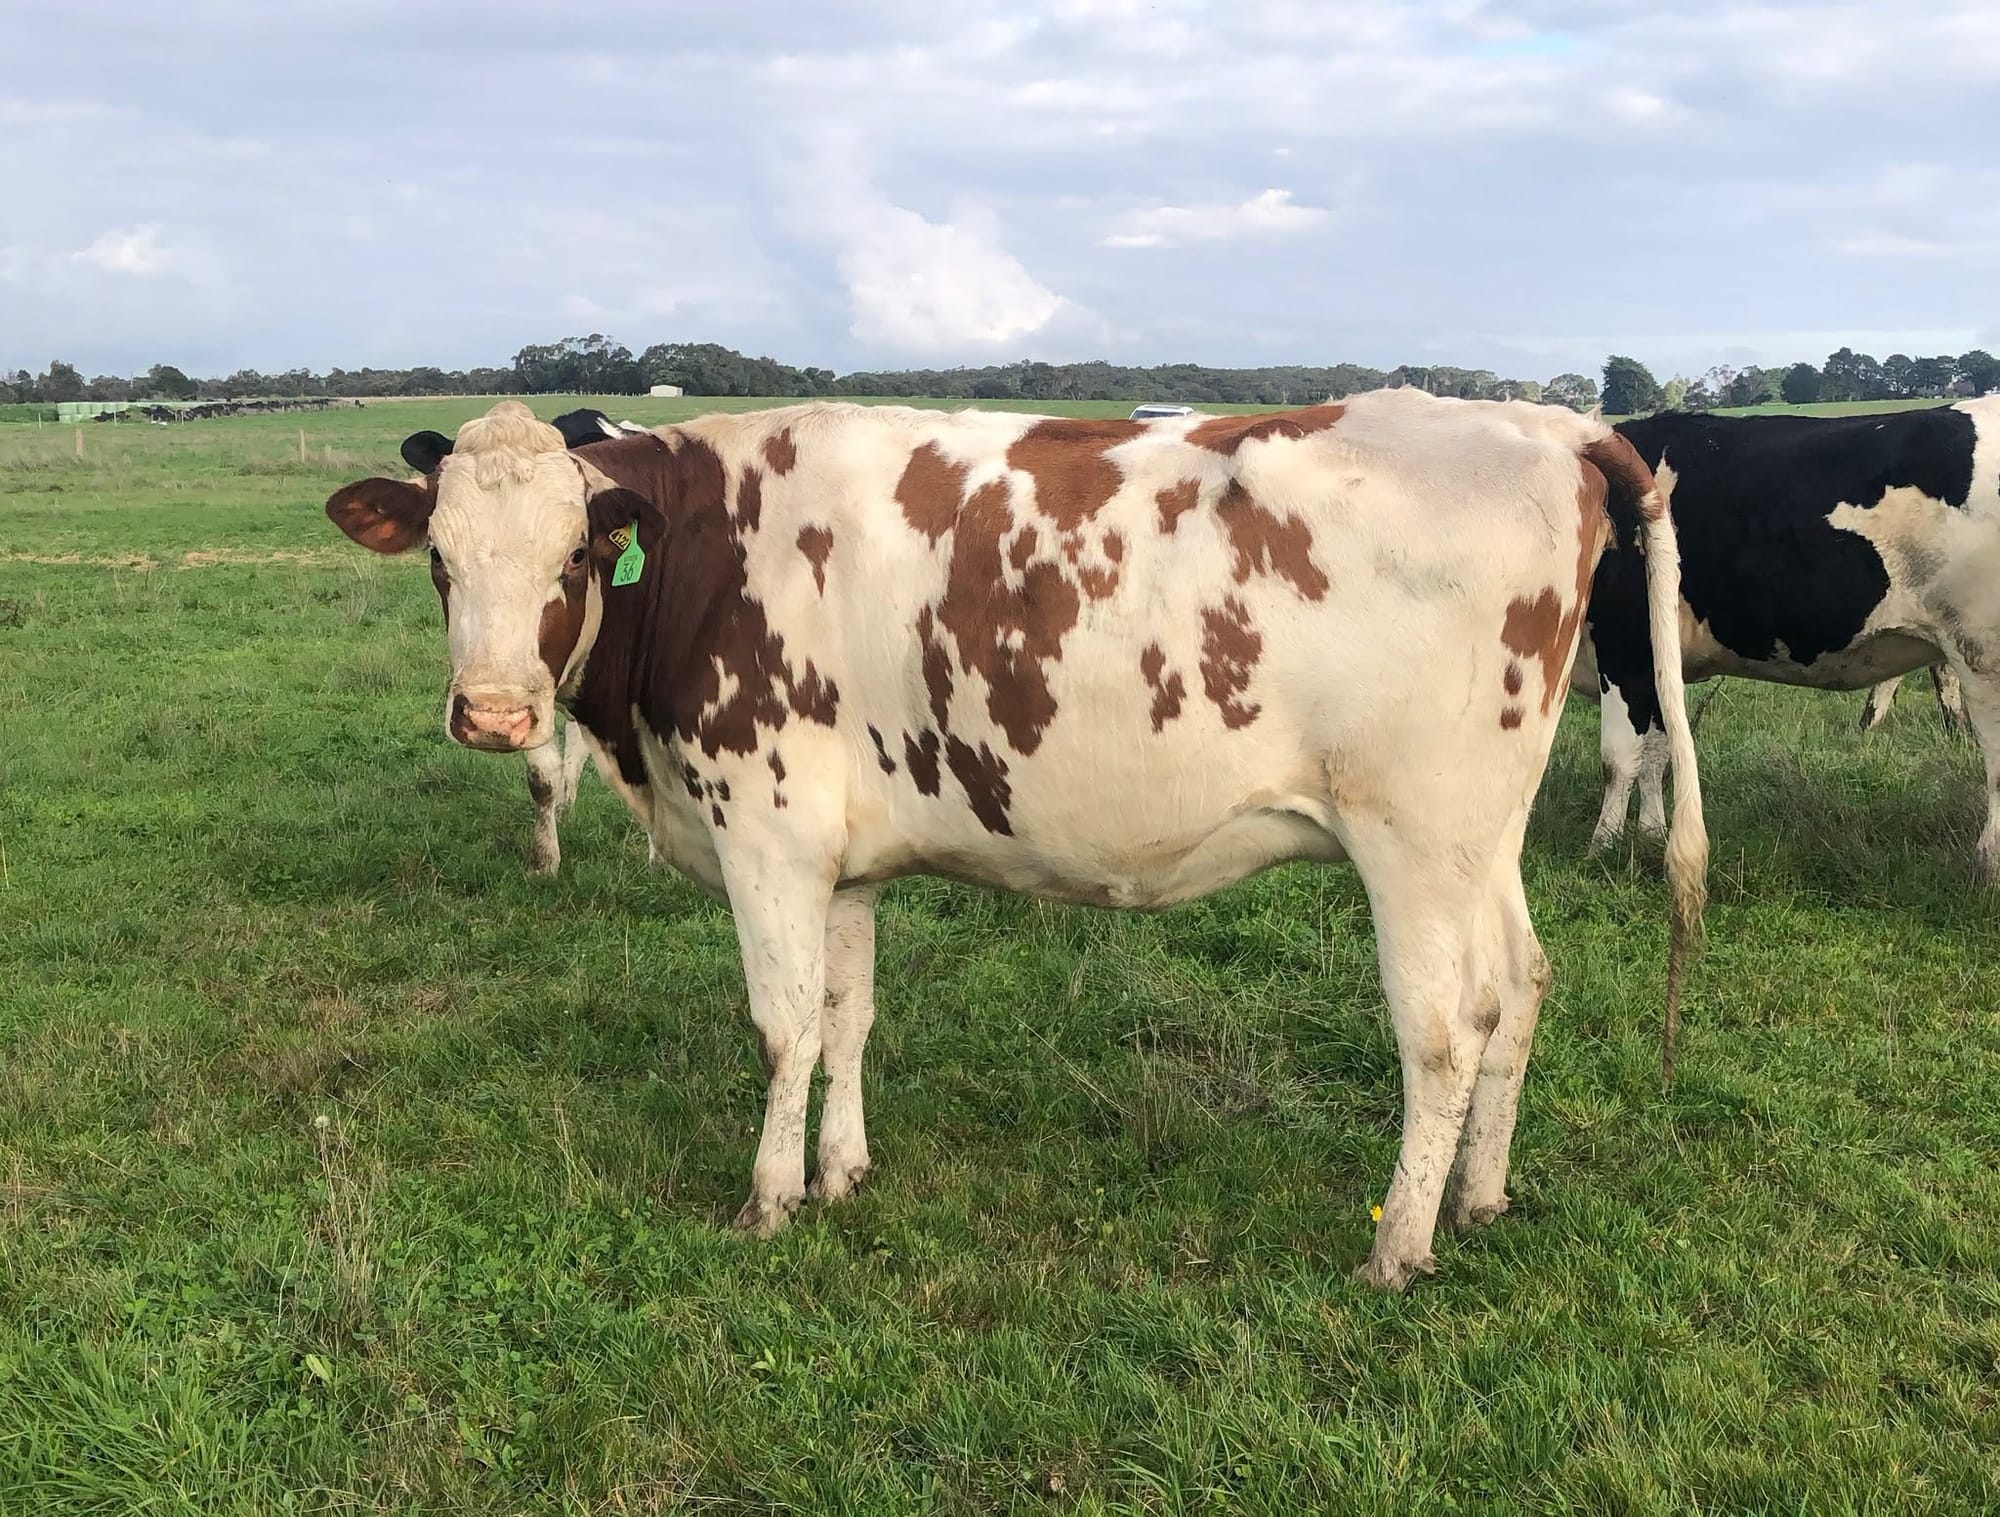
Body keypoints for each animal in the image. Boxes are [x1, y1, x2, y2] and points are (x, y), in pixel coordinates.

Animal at [1578, 401, 2000, 870]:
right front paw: (1649, 835)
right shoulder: (1655, 664)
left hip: (1982, 656)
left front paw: (1601, 846)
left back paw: (1986, 863)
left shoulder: (1623, 648)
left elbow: (1618, 760)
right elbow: (1655, 754)